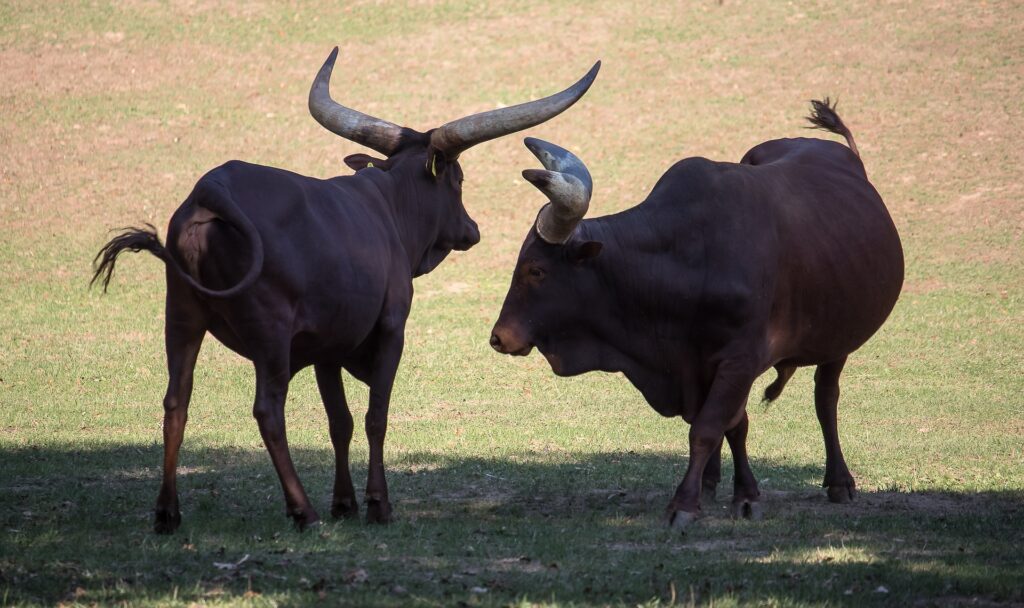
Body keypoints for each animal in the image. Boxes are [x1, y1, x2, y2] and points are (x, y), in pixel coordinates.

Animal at [92, 47, 600, 533]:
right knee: (268, 411)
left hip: (180, 317)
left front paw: (345, 503)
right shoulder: (391, 330)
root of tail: (209, 191)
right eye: (458, 180)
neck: (389, 208)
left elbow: (341, 420)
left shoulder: (328, 347)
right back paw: (302, 511)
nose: (472, 230)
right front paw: (377, 503)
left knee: (175, 403)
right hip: (269, 334)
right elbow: (376, 416)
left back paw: (167, 513)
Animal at [489, 100, 904, 529]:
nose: (499, 336)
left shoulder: (739, 359)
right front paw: (738, 492)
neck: (688, 258)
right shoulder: (699, 361)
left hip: (837, 339)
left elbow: (707, 428)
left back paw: (839, 481)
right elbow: (733, 425)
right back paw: (711, 482)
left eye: (536, 270)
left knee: (826, 399)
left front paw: (685, 503)